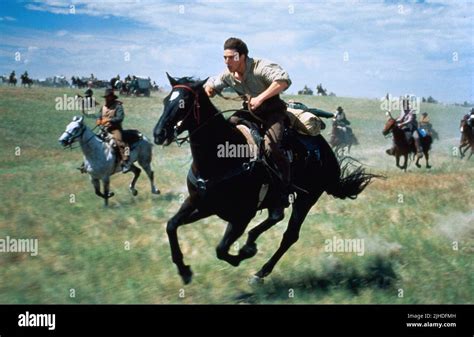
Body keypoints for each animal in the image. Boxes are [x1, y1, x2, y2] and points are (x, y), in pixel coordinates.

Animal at [153, 73, 378, 284]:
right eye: (165, 101)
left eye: (183, 103)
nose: (158, 134)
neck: (223, 156)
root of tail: (326, 151)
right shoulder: (200, 203)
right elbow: (171, 225)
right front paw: (184, 270)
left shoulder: (242, 215)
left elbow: (222, 249)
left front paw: (245, 253)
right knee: (276, 216)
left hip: (307, 199)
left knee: (289, 235)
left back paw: (260, 271)